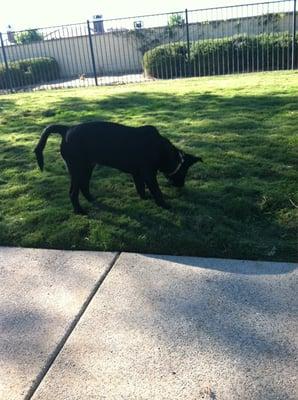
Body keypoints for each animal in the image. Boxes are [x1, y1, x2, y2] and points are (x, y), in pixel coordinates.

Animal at [35, 122, 203, 214]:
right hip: (77, 169)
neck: (162, 150)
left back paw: (92, 199)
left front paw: (145, 198)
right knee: (73, 192)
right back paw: (79, 211)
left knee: (84, 186)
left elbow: (140, 188)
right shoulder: (149, 174)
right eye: (184, 172)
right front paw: (164, 205)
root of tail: (66, 129)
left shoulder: (138, 174)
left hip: (88, 167)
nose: (181, 185)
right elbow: (157, 191)